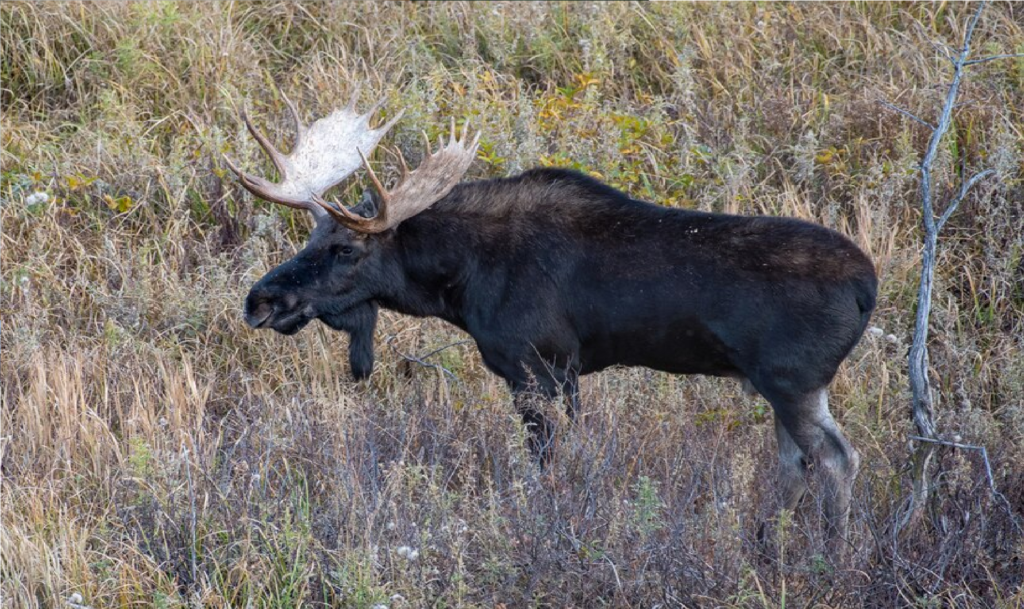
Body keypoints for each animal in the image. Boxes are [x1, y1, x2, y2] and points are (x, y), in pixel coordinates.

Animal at [228, 94, 876, 544]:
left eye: (345, 248)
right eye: (311, 237)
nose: (259, 301)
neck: (460, 279)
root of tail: (868, 286)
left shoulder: (540, 366)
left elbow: (546, 468)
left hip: (793, 379)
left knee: (836, 460)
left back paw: (833, 555)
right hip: (780, 385)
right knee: (796, 463)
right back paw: (767, 548)